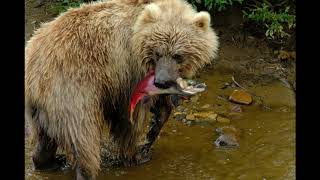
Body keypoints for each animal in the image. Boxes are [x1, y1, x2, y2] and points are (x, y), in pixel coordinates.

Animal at [26, 0, 219, 178]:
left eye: (178, 55)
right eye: (157, 52)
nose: (161, 81)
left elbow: (162, 108)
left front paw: (153, 130)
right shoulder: (127, 71)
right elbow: (130, 117)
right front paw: (135, 154)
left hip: (43, 107)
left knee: (45, 139)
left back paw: (49, 162)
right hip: (73, 90)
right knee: (83, 137)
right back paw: (85, 170)